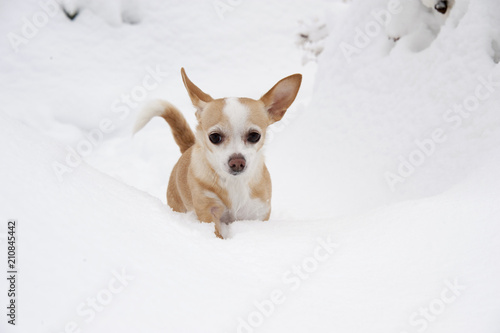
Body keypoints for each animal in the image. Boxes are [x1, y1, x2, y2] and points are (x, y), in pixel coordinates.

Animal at [133, 68, 302, 237]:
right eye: (214, 137)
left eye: (254, 136)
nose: (237, 162)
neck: (234, 183)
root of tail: (188, 147)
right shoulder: (208, 210)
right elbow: (216, 233)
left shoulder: (257, 212)